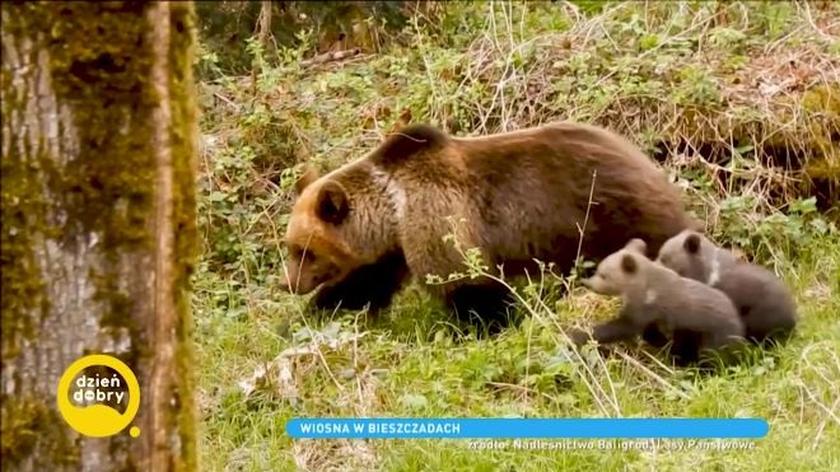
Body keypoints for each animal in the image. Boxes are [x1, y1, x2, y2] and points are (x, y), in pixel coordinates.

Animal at [280, 122, 696, 332]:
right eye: (290, 246)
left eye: (305, 251)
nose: (288, 283)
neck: (393, 210)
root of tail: (646, 160)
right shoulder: (395, 247)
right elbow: (363, 285)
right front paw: (309, 317)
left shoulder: (440, 219)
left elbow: (470, 287)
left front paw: (488, 326)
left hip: (608, 212)